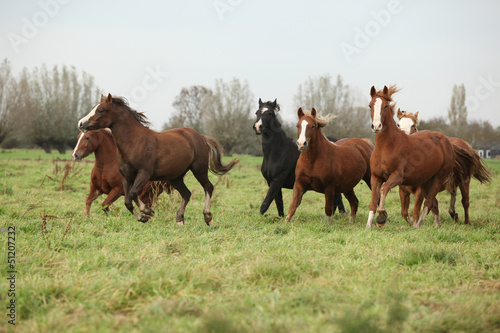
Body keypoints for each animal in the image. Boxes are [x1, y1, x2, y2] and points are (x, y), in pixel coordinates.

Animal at [78, 93, 238, 226]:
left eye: (100, 110)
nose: (81, 123)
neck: (134, 142)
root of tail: (199, 136)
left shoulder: (144, 174)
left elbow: (133, 194)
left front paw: (147, 211)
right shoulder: (126, 177)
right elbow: (128, 200)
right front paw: (143, 217)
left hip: (198, 169)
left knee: (208, 187)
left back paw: (208, 217)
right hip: (175, 177)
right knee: (186, 194)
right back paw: (179, 220)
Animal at [366, 85, 456, 228]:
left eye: (385, 106)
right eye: (370, 105)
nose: (376, 126)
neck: (386, 147)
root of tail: (445, 140)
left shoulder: (397, 176)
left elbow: (384, 190)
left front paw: (381, 217)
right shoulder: (376, 177)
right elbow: (374, 201)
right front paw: (369, 225)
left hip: (439, 177)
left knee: (428, 203)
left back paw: (418, 225)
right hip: (426, 181)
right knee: (433, 203)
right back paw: (436, 225)